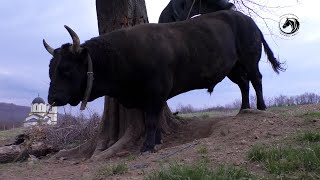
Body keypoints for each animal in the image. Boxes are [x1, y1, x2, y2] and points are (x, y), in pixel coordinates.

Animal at [43, 10, 284, 152]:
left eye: (65, 69)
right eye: (50, 70)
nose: (52, 98)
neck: (123, 55)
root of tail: (246, 18)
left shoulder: (155, 92)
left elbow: (151, 120)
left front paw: (148, 146)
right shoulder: (144, 97)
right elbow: (152, 119)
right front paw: (157, 140)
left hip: (249, 59)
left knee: (256, 80)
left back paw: (261, 107)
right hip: (233, 68)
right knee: (244, 84)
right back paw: (243, 109)